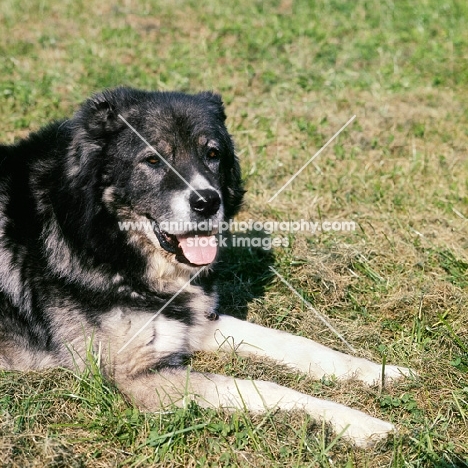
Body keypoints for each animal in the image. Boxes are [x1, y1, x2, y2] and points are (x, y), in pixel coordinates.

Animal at [0, 86, 410, 448]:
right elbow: (261, 387)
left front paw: (379, 372)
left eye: (212, 154)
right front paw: (356, 421)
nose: (207, 202)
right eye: (153, 160)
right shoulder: (134, 377)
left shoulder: (195, 322)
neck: (107, 240)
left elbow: (298, 343)